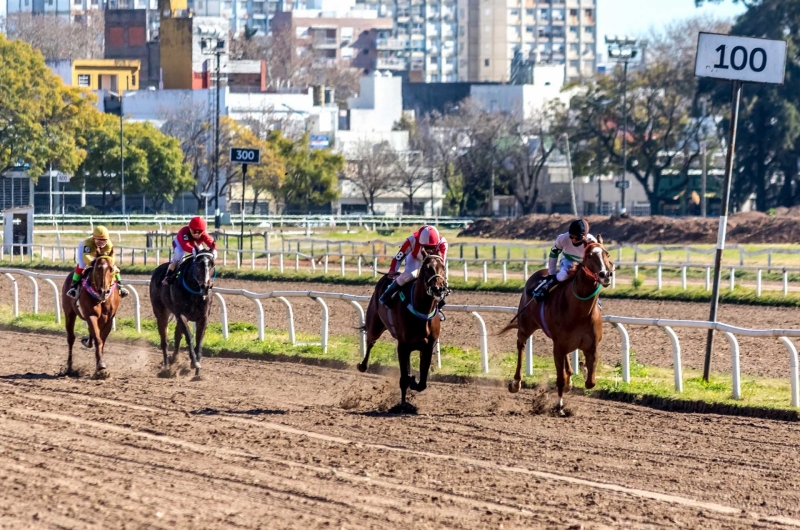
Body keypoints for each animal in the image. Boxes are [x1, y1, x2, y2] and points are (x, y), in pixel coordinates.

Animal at [358, 251, 450, 408]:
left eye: (443, 267)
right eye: (426, 268)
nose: (438, 288)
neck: (422, 309)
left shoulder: (427, 347)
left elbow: (422, 382)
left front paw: (414, 381)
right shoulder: (403, 346)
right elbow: (404, 378)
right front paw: (402, 405)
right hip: (375, 325)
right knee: (370, 341)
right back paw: (363, 366)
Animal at [500, 236, 612, 412]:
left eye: (606, 254)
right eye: (589, 256)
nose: (605, 274)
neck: (580, 312)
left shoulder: (591, 347)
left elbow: (591, 382)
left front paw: (583, 370)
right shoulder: (558, 346)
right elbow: (559, 378)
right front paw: (559, 405)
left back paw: (570, 378)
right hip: (526, 326)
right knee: (521, 345)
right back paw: (516, 383)